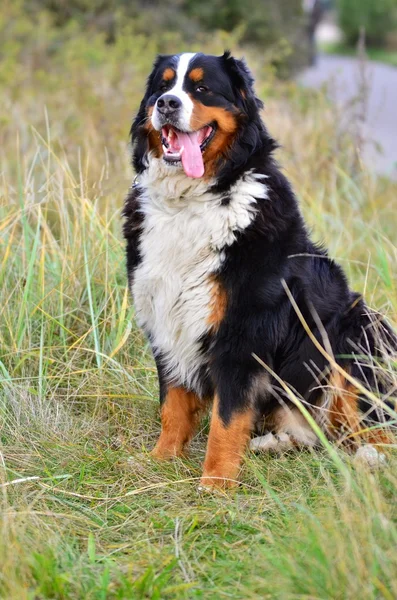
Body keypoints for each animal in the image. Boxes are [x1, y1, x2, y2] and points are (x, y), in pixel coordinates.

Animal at [122, 51, 394, 490]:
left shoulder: (243, 330)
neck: (192, 203)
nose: (167, 104)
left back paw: (370, 459)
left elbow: (227, 418)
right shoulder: (166, 316)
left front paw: (216, 483)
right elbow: (173, 404)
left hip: (355, 334)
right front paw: (161, 460)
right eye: (162, 87)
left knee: (377, 428)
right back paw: (273, 442)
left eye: (201, 87)